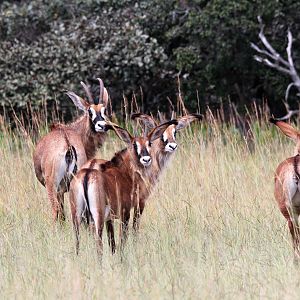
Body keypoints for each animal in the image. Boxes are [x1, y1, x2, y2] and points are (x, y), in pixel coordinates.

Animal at [33, 78, 110, 223]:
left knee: (56, 211)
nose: (102, 126)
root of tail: (68, 144)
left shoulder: (60, 191)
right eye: (90, 111)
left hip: (52, 185)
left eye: (104, 111)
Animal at [68, 119, 177, 253]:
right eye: (134, 145)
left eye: (149, 143)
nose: (146, 159)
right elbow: (125, 237)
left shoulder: (110, 218)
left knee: (77, 242)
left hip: (77, 216)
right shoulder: (128, 211)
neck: (124, 172)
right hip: (97, 217)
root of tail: (87, 174)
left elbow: (112, 241)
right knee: (99, 244)